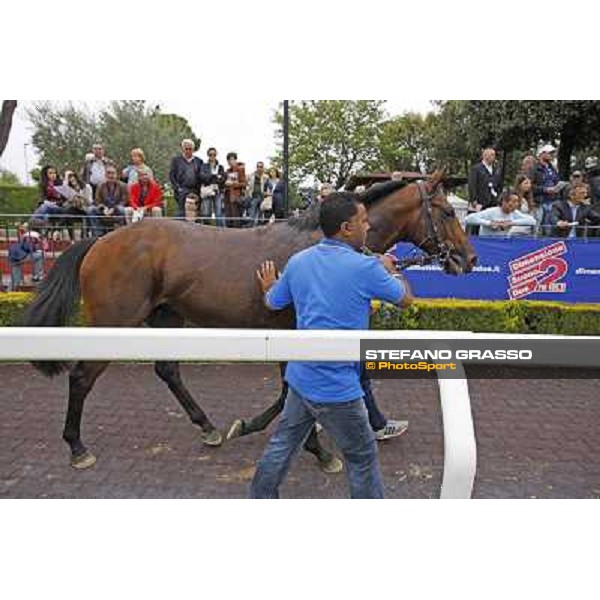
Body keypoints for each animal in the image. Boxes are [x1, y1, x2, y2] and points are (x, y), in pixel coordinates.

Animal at [23, 171, 478, 472]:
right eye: (446, 212)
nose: (469, 259)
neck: (320, 243)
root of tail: (98, 240)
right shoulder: (297, 331)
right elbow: (294, 392)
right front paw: (318, 450)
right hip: (116, 321)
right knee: (82, 376)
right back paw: (77, 447)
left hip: (166, 316)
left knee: (167, 370)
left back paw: (208, 427)